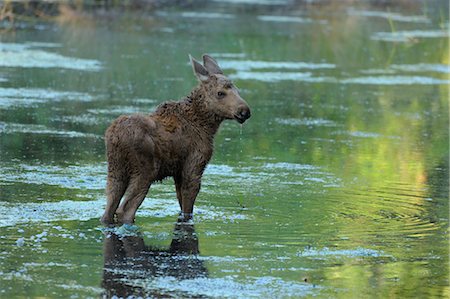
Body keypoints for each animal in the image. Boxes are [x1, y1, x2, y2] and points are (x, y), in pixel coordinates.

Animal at [100, 55, 251, 225]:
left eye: (238, 90)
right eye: (220, 93)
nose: (244, 111)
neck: (207, 127)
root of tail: (115, 137)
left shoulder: (178, 172)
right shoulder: (194, 166)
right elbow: (187, 210)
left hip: (116, 170)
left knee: (108, 210)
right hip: (144, 171)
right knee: (125, 210)